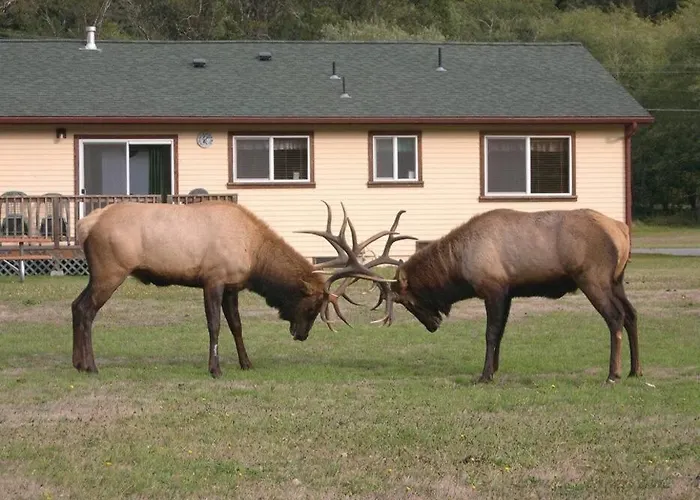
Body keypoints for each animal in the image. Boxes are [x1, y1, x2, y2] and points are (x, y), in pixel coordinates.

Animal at [71, 200, 404, 377]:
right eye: (312, 306)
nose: (301, 335)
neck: (255, 258)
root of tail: (85, 225)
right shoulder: (213, 279)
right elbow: (215, 325)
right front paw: (215, 368)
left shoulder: (232, 286)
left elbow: (237, 325)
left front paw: (246, 363)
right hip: (111, 270)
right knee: (86, 310)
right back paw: (92, 366)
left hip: (97, 274)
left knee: (75, 305)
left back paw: (77, 363)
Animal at [351, 208, 642, 384]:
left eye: (407, 301)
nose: (433, 325)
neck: (459, 268)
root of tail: (622, 231)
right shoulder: (508, 292)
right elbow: (500, 333)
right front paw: (495, 369)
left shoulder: (493, 288)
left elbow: (490, 333)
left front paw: (484, 375)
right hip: (616, 280)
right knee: (632, 314)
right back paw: (635, 370)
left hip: (593, 279)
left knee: (615, 317)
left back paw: (613, 374)